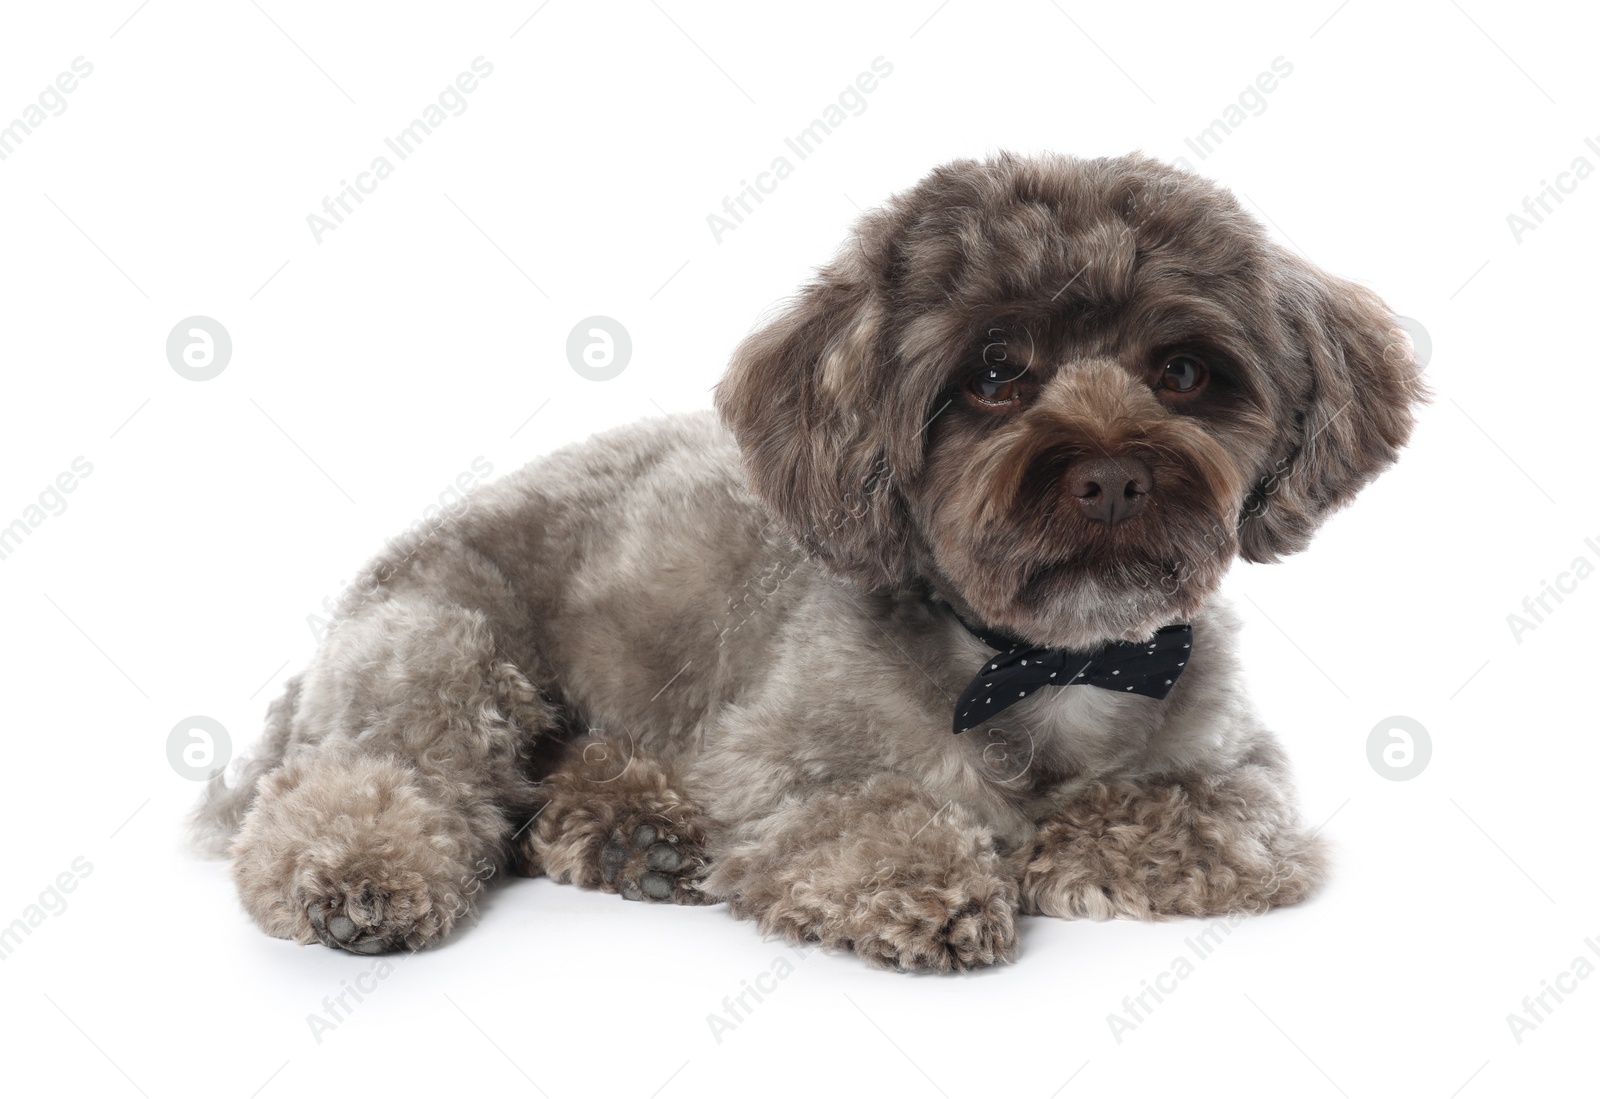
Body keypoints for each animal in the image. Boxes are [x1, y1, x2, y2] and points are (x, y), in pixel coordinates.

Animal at [196, 152, 1427, 972]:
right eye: (994, 372)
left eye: (1181, 371)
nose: (1114, 476)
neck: (1037, 659)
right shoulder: (773, 766)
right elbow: (867, 810)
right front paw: (933, 872)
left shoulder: (1246, 779)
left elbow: (1184, 813)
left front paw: (1059, 839)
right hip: (443, 651)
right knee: (366, 779)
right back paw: (366, 872)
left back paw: (633, 829)